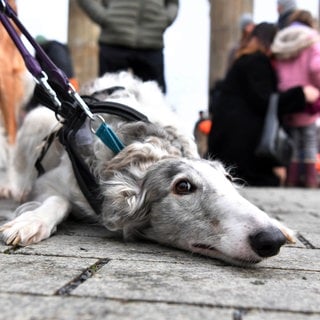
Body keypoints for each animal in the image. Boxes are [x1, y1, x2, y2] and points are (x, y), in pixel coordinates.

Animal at [0, 74, 296, 266]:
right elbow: (56, 200)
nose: (271, 239)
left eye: (227, 180)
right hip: (37, 122)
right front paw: (28, 223)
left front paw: (283, 226)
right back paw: (13, 187)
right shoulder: (51, 182)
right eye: (183, 186)